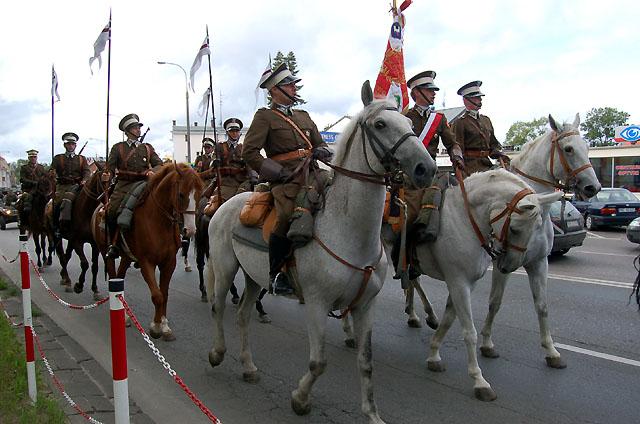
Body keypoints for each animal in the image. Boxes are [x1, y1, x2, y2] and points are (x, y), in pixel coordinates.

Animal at [47, 166, 105, 298]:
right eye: (104, 181)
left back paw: (64, 276)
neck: (87, 211)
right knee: (62, 255)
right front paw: (79, 285)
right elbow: (84, 264)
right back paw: (67, 280)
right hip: (57, 236)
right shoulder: (77, 242)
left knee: (66, 255)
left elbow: (94, 266)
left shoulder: (95, 245)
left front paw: (95, 289)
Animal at [91, 163, 201, 342]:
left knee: (120, 277)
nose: (190, 230)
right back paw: (123, 316)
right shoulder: (146, 262)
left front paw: (164, 326)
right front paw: (155, 327)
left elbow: (164, 294)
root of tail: (100, 208)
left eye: (199, 195)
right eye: (181, 194)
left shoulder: (169, 262)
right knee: (114, 277)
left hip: (126, 257)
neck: (158, 221)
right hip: (106, 252)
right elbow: (157, 295)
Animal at [205, 84, 436, 422]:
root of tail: (226, 203)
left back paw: (248, 367)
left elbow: (366, 362)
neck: (349, 232)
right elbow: (318, 363)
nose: (427, 168)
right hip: (224, 269)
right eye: (381, 124)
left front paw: (371, 413)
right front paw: (300, 399)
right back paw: (217, 353)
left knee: (243, 314)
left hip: (254, 278)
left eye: (409, 125)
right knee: (218, 308)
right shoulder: (316, 304)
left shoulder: (365, 306)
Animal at [480, 112, 600, 364]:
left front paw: (551, 351)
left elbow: (542, 305)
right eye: (568, 148)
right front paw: (486, 343)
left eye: (586, 147)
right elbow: (495, 301)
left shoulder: (539, 262)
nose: (593, 187)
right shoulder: (502, 264)